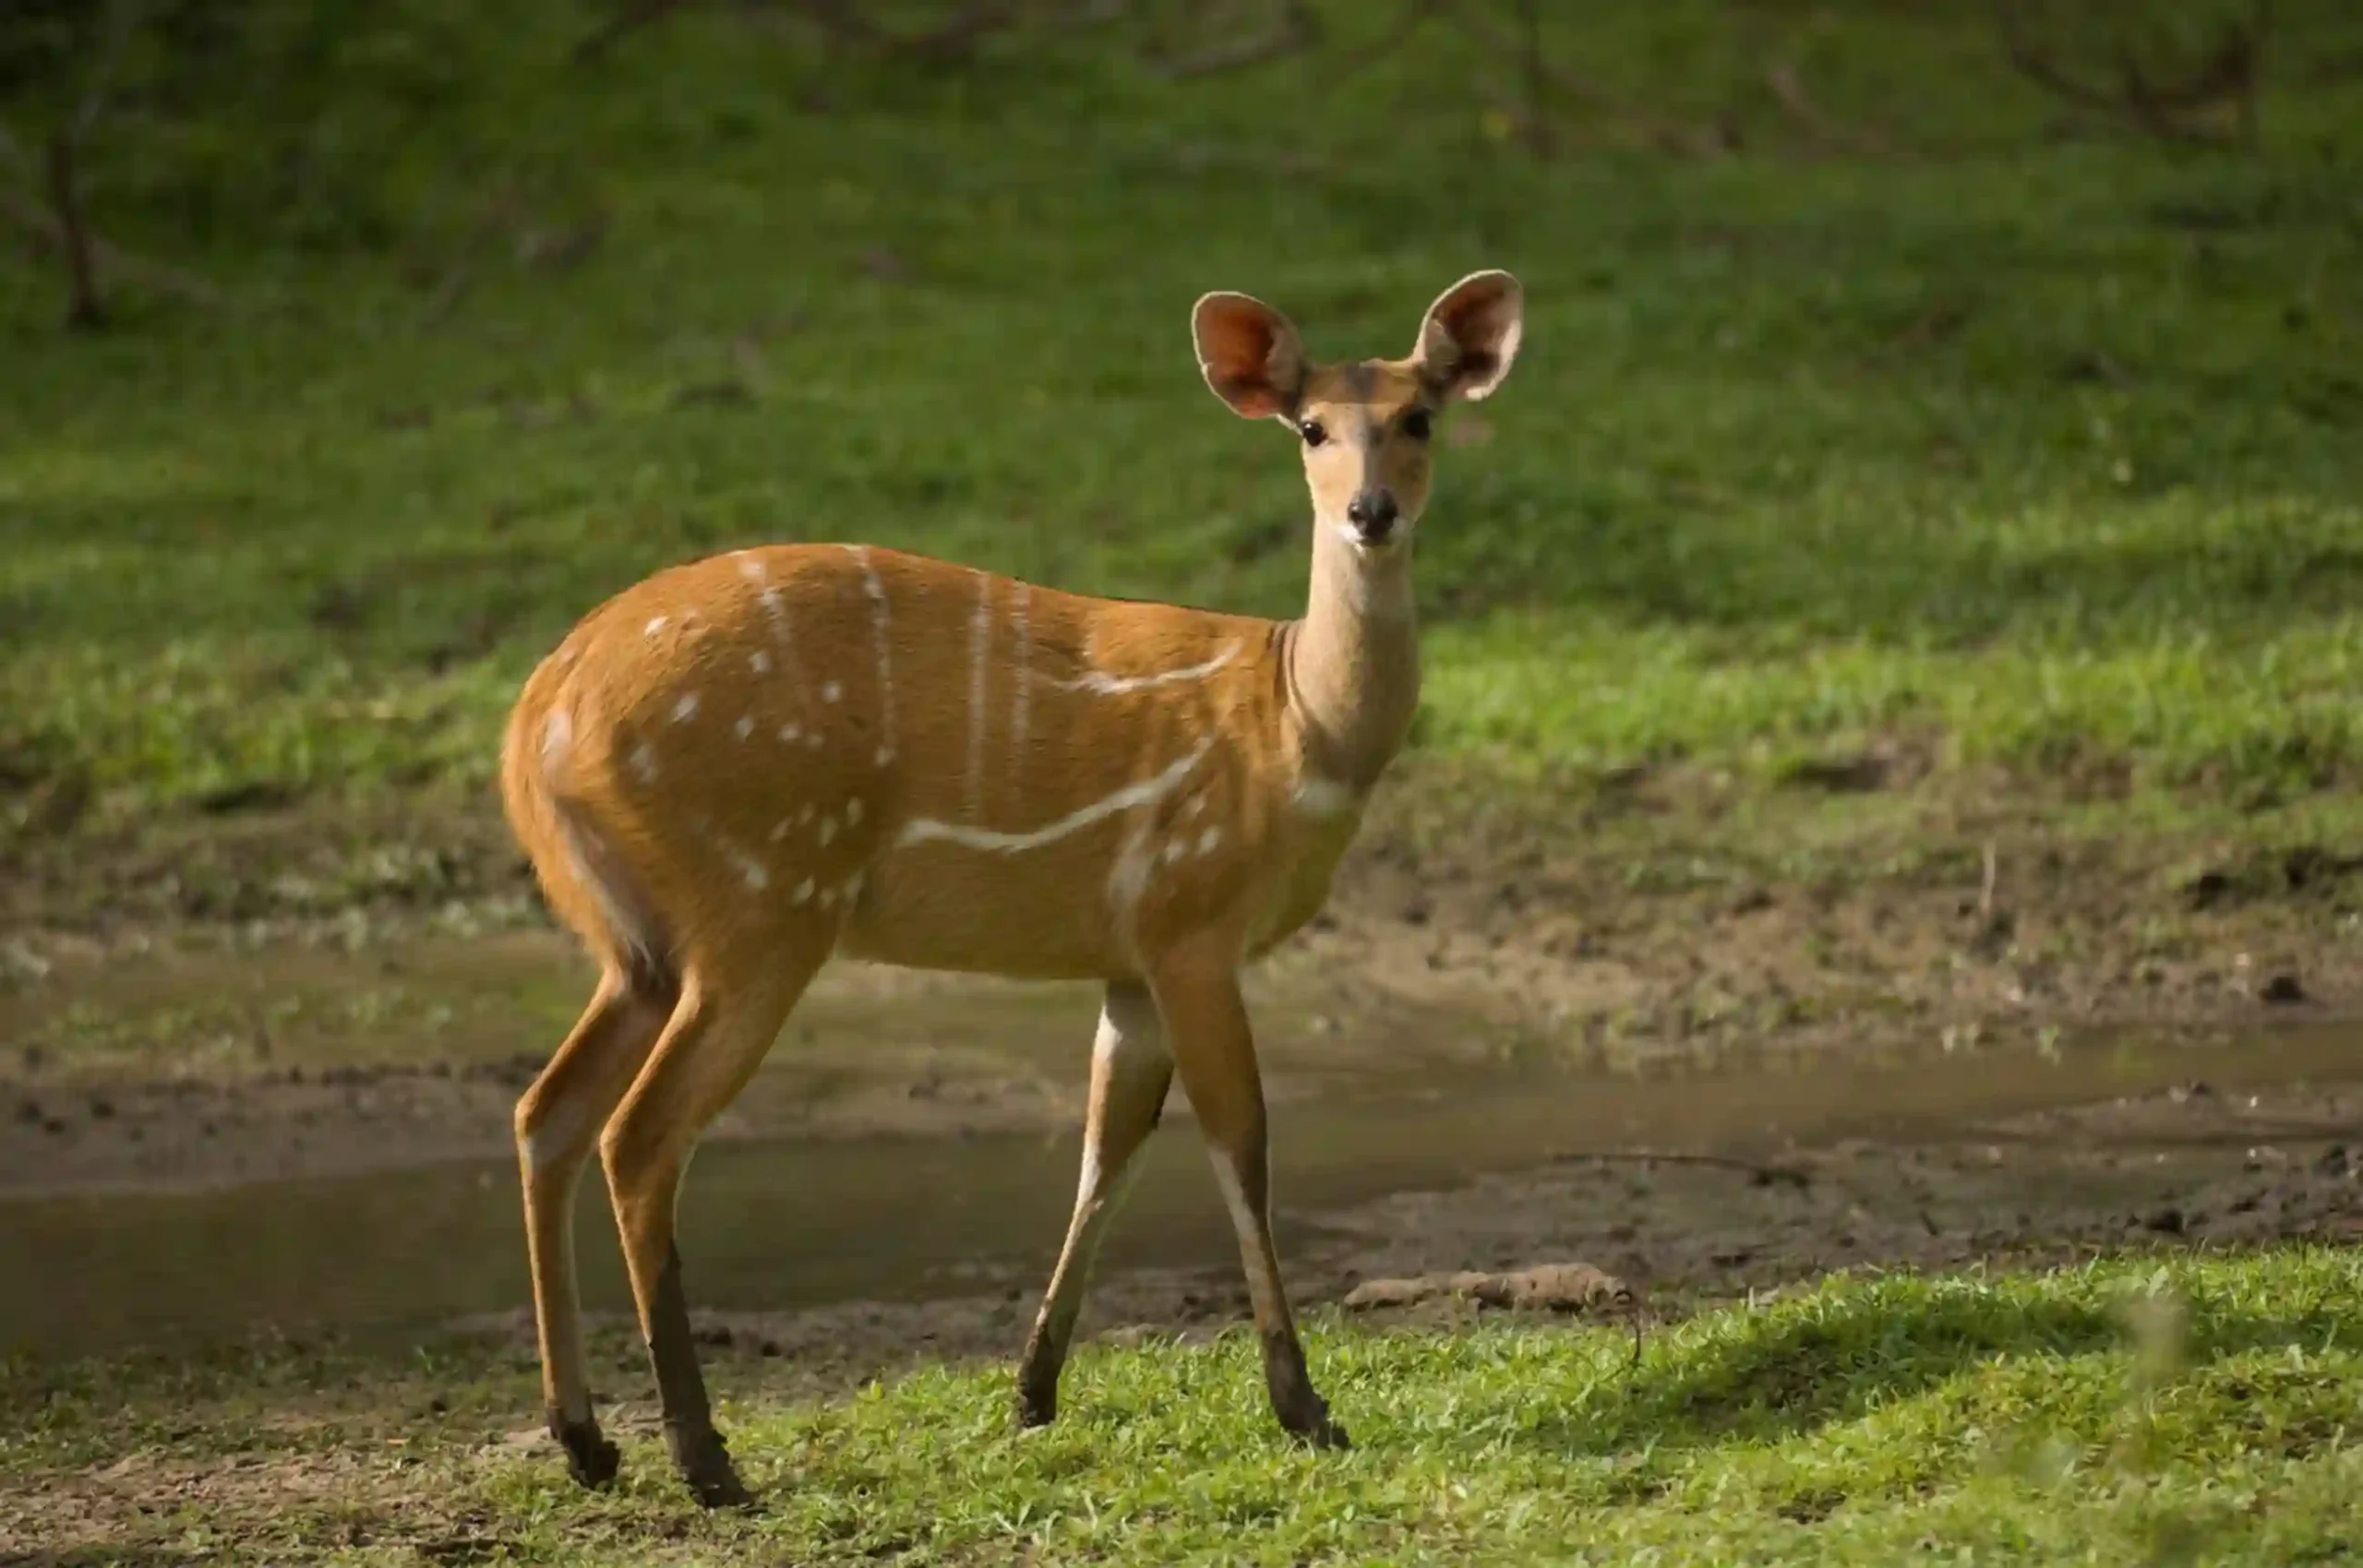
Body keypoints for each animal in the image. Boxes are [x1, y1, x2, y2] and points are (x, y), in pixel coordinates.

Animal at [503, 269, 1530, 1511]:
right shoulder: (1191, 920)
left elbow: (1103, 1148)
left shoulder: (1127, 960)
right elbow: (1240, 1139)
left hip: (637, 941)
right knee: (641, 1136)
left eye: (1419, 416)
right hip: (757, 908)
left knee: (547, 1111)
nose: (1370, 512)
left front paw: (1032, 1392)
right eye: (1312, 429)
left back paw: (585, 1440)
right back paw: (707, 1460)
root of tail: (534, 724)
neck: (1300, 728)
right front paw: (1305, 1409)